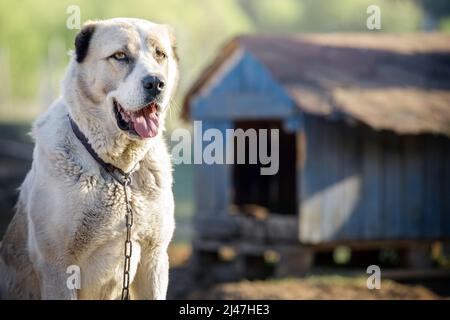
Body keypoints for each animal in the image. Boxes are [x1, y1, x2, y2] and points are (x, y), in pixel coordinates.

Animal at [0, 17, 179, 298]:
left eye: (160, 54)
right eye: (120, 56)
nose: (155, 83)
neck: (120, 173)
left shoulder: (154, 258)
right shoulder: (58, 266)